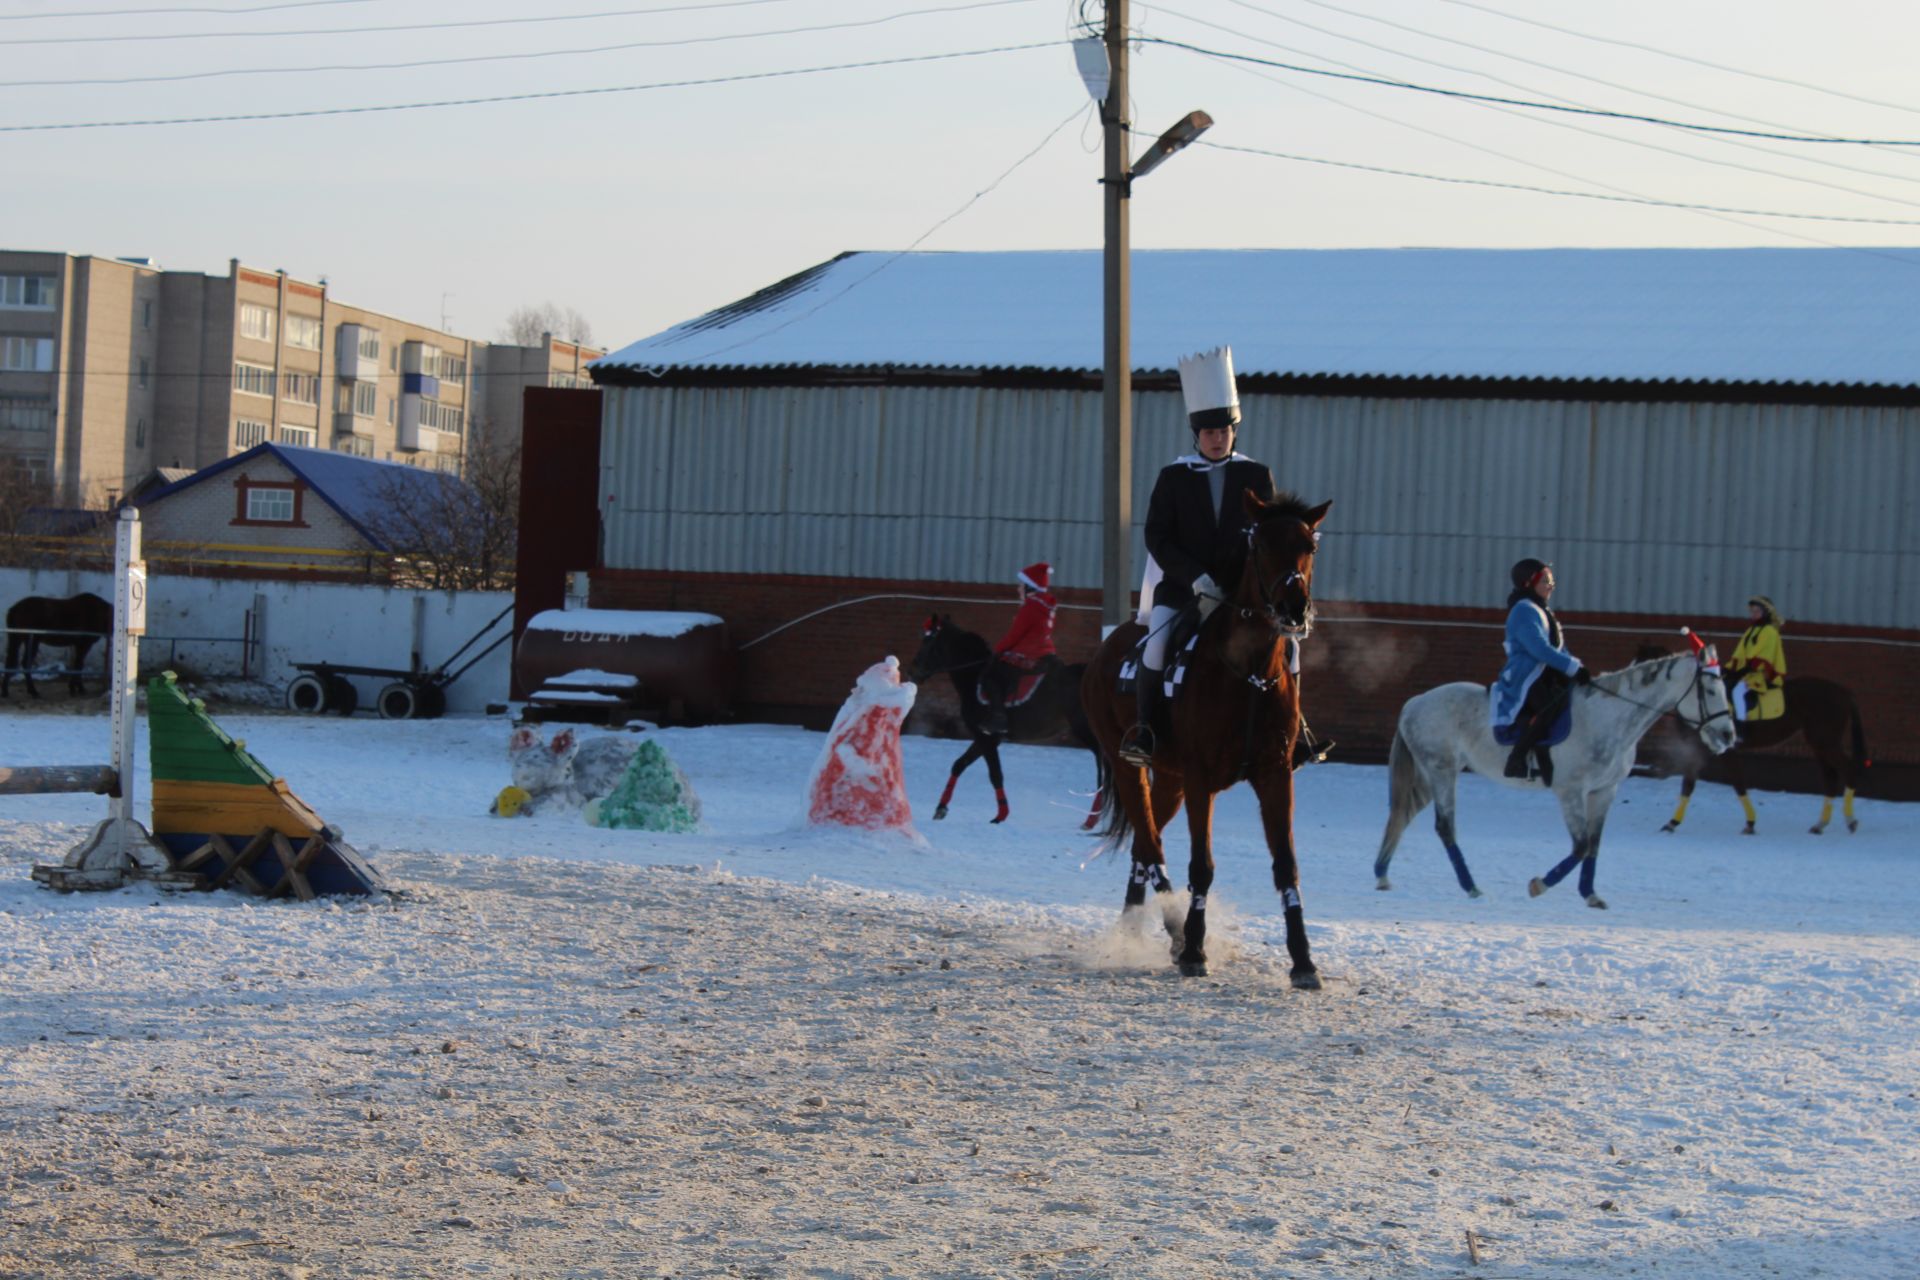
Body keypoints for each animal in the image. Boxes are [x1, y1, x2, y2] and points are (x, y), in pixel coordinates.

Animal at [902, 617, 1105, 832]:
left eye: (929, 643)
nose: (911, 671)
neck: (975, 677)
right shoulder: (984, 736)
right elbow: (958, 765)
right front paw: (941, 807)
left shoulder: (988, 738)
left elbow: (995, 774)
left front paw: (1001, 815)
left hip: (1085, 729)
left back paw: (1092, 818)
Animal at [1082, 495, 1336, 990]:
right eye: (1262, 544)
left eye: (1309, 548)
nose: (1294, 609)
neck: (1250, 674)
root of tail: (1109, 644)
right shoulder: (1201, 780)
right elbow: (1201, 865)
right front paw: (1195, 950)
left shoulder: (1275, 776)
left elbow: (1286, 866)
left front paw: (1303, 961)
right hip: (1131, 768)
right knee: (1151, 846)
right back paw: (1176, 932)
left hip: (1170, 780)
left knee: (1143, 845)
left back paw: (1135, 929)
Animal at [1367, 652, 1743, 909]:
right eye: (1710, 689)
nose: (1728, 736)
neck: (1610, 718)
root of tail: (1415, 703)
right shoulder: (1571, 792)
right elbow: (1580, 846)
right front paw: (1539, 885)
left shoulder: (1605, 791)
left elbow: (1594, 845)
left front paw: (1591, 895)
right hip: (1441, 772)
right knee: (1445, 827)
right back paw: (1471, 887)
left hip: (1429, 775)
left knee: (1402, 815)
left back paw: (1383, 874)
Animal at [1635, 644, 1873, 836]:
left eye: (1646, 669)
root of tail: (1843, 692)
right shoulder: (1698, 751)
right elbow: (1688, 785)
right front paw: (1672, 822)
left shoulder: (1726, 751)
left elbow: (1737, 783)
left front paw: (1750, 823)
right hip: (1819, 743)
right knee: (1830, 779)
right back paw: (1820, 824)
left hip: (1826, 742)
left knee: (1847, 770)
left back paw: (1850, 820)